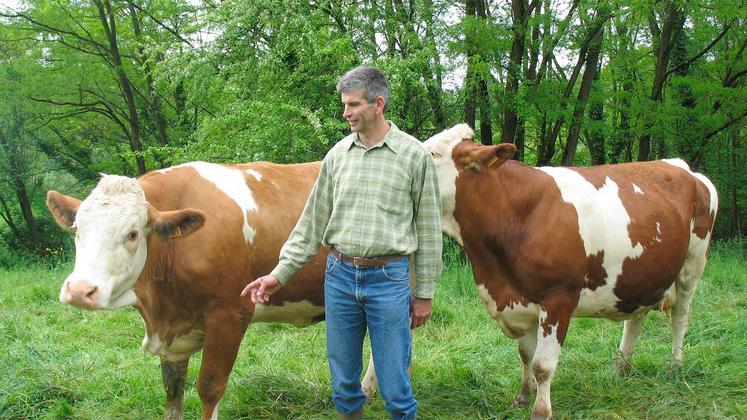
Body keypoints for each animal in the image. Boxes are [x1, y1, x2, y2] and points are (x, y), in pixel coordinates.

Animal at [45, 160, 380, 416]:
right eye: (77, 229)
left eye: (132, 234)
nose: (80, 290)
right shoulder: (174, 335)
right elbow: (173, 390)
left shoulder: (230, 316)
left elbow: (209, 386)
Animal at [424, 125, 716, 420]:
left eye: (433, 154)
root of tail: (684, 168)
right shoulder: (521, 298)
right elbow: (525, 354)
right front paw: (522, 396)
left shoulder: (558, 298)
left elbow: (543, 364)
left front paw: (541, 410)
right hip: (642, 275)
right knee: (635, 319)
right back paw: (620, 367)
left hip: (692, 266)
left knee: (680, 318)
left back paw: (674, 365)